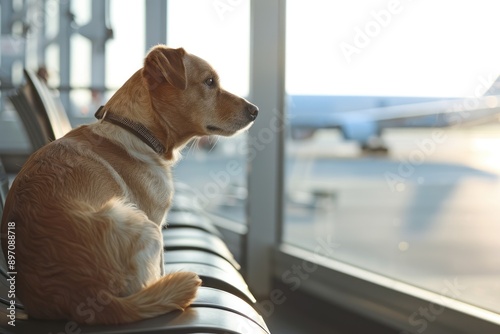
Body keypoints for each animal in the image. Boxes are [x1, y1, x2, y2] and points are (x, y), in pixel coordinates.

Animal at [0, 45, 258, 324]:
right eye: (210, 82)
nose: (255, 110)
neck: (137, 130)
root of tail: (85, 295)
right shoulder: (156, 222)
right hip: (144, 227)